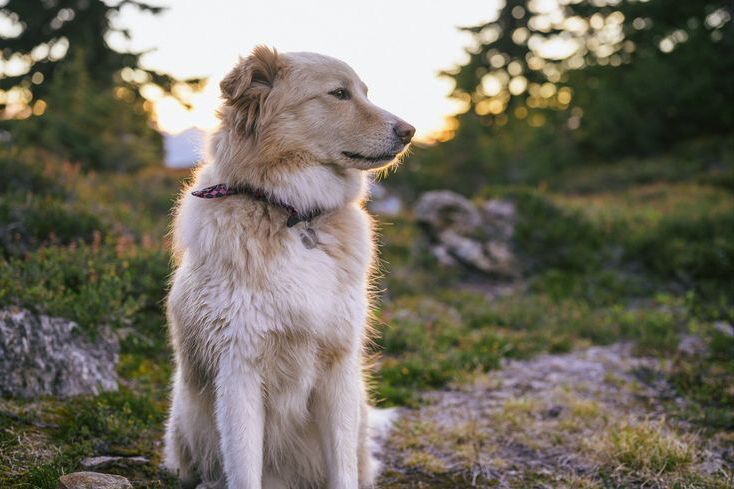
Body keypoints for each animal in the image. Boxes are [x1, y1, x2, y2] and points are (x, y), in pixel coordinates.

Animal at [165, 46, 416, 488]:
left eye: (364, 92)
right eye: (339, 93)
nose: (410, 131)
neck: (295, 216)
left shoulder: (338, 367)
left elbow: (343, 469)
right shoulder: (239, 370)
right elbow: (244, 469)